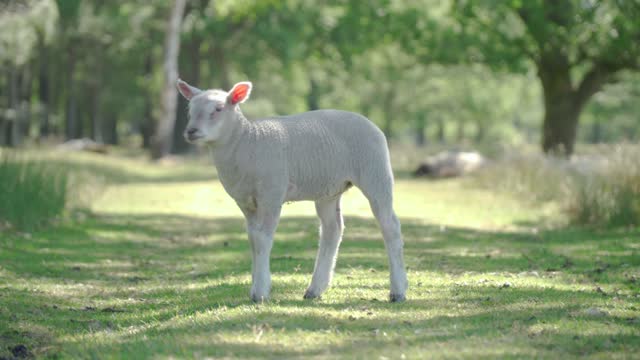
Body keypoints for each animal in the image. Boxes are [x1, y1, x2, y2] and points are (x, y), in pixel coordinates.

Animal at [175, 79, 408, 304]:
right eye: (190, 109)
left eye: (219, 108)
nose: (190, 132)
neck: (246, 142)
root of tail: (372, 124)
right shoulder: (245, 201)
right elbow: (252, 239)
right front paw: (256, 285)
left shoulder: (271, 193)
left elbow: (262, 239)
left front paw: (260, 291)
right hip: (329, 189)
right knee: (332, 229)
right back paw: (315, 289)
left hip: (375, 172)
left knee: (390, 226)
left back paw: (398, 291)